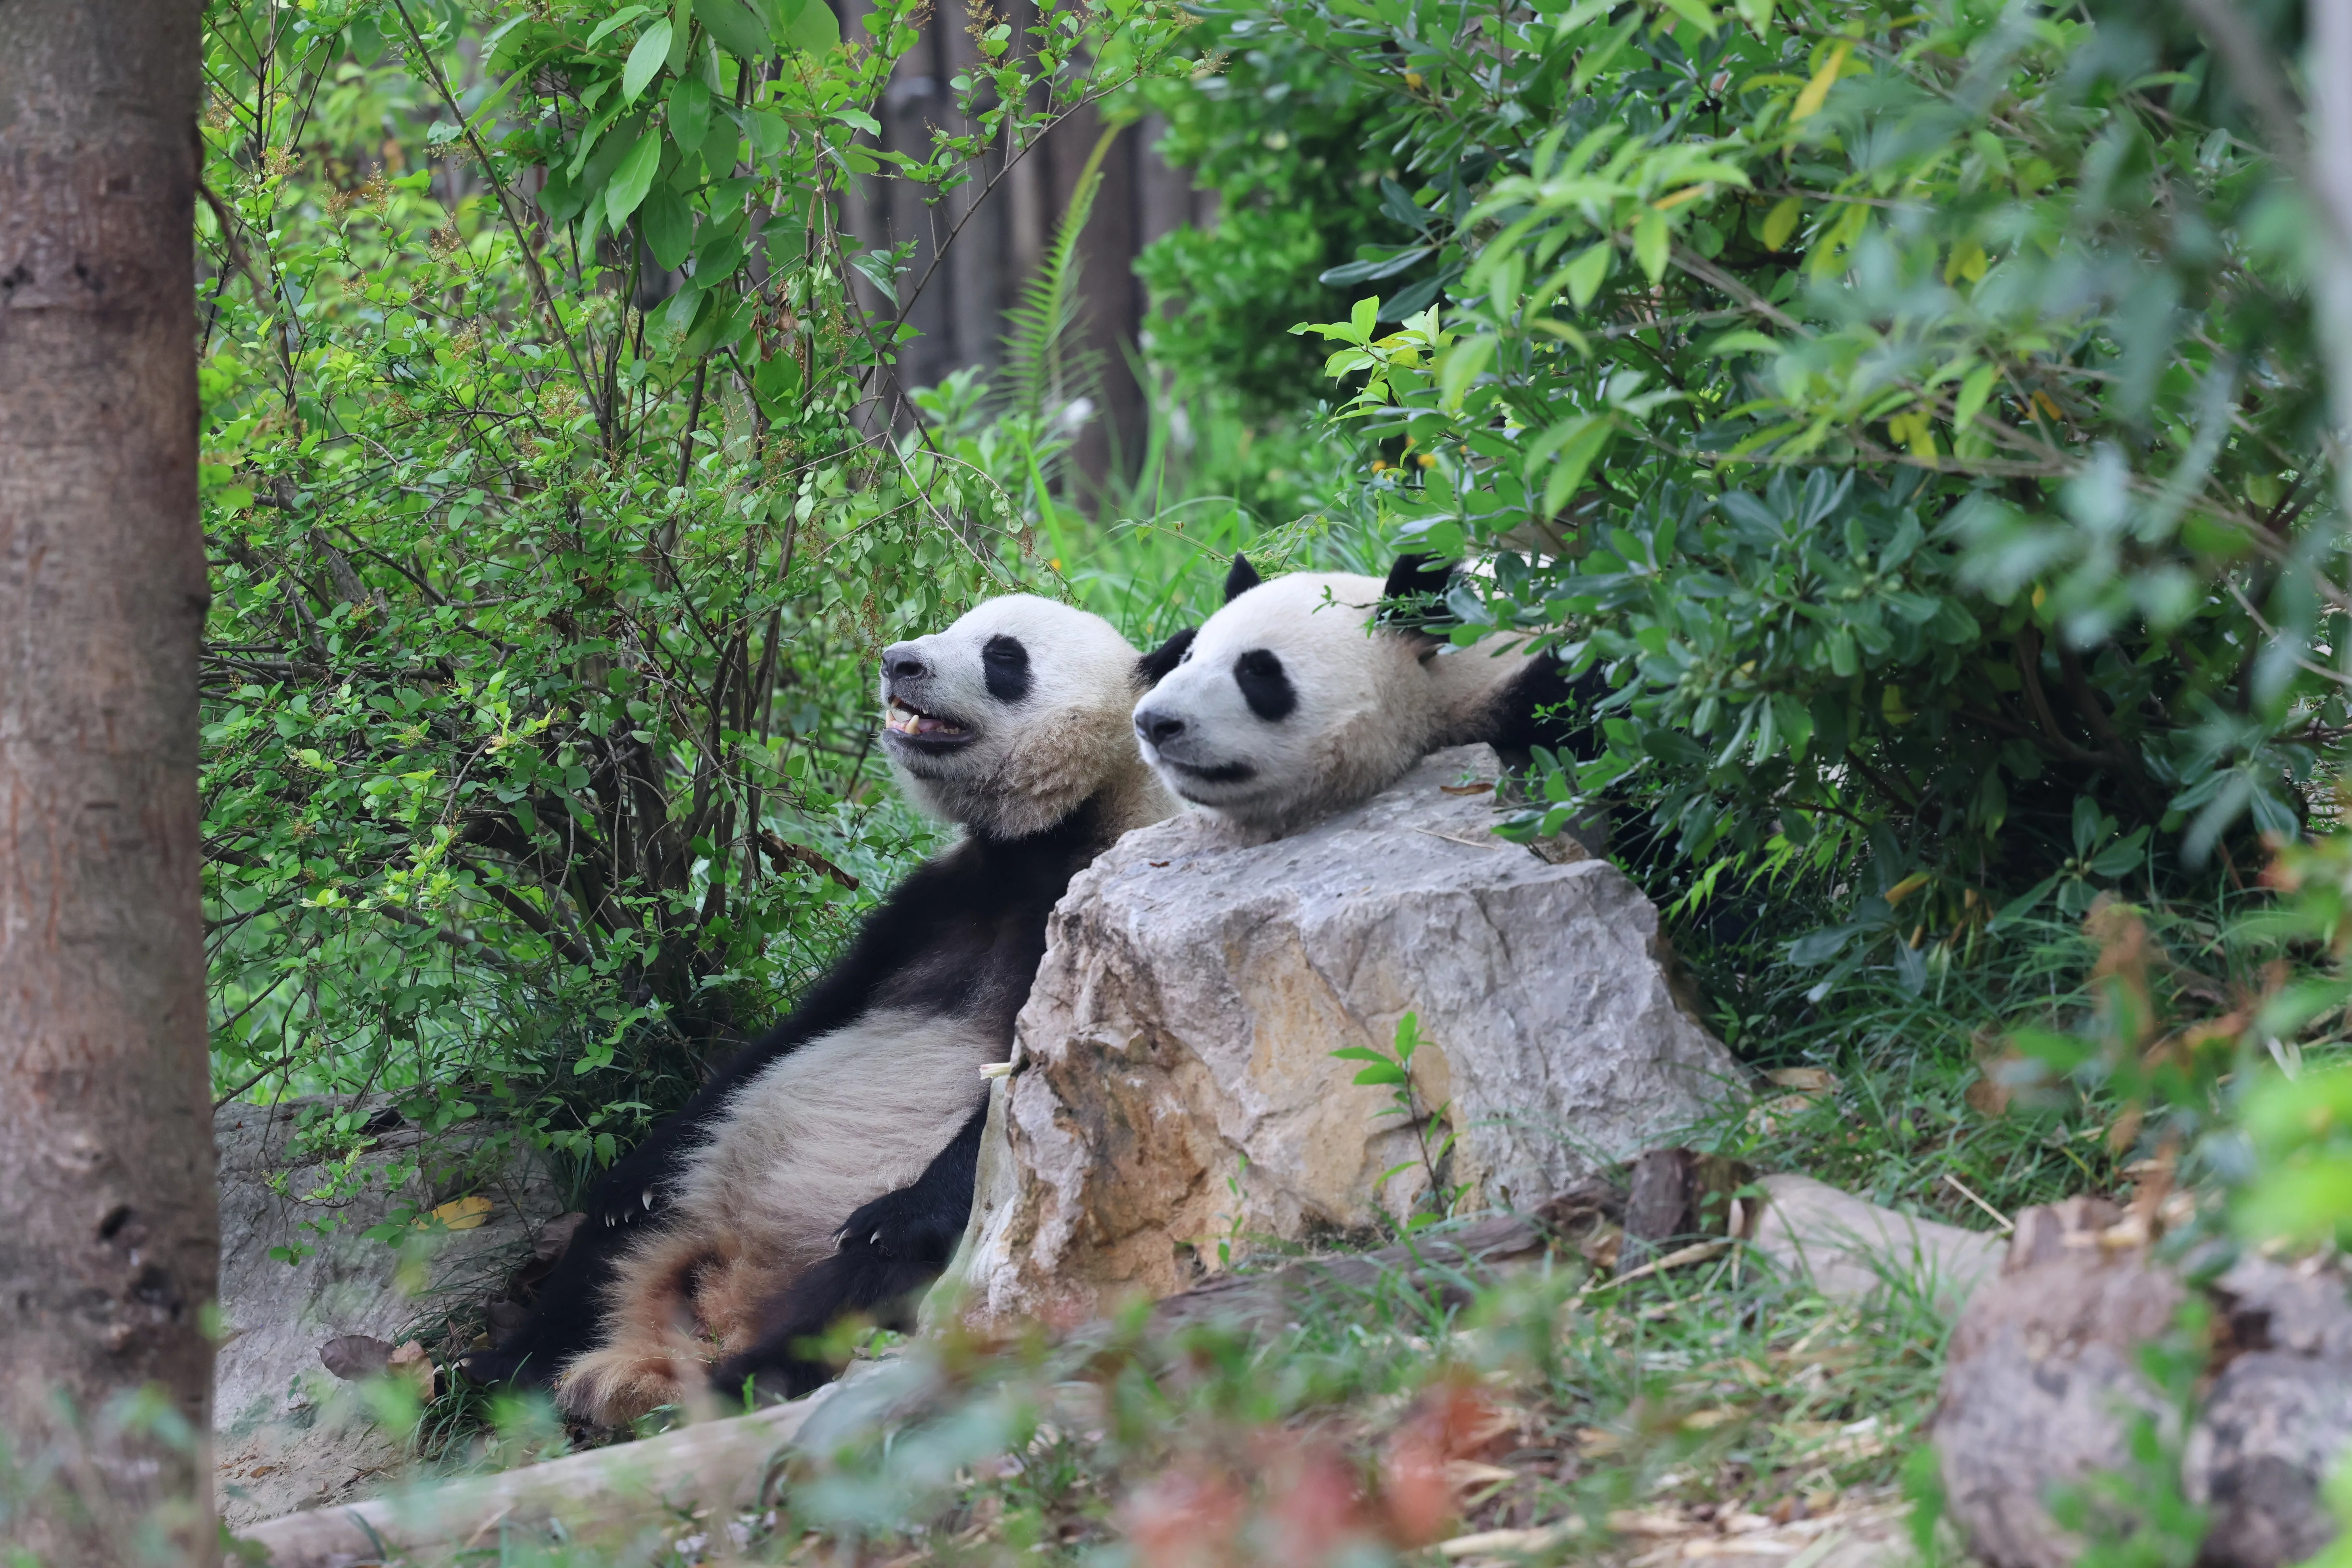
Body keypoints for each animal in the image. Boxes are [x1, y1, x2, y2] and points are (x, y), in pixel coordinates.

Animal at [462, 595, 1190, 1424]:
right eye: (957, 624)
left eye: (1004, 656)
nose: (900, 661)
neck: (1039, 844)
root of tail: (719, 1307)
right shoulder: (923, 910)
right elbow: (789, 1034)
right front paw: (627, 1178)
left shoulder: (1092, 914)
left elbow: (1030, 1099)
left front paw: (897, 1215)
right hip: (690, 1202)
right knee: (604, 1251)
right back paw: (500, 1370)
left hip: (908, 1256)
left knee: (864, 1290)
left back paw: (739, 1382)